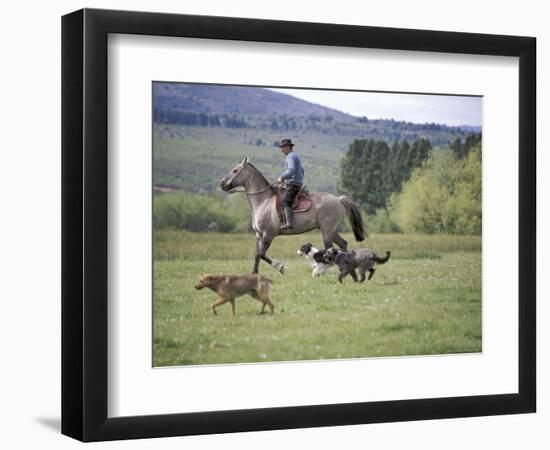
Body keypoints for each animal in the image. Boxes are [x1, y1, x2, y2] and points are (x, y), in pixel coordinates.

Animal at [219, 156, 366, 272]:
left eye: (235, 170)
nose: (222, 184)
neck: (263, 202)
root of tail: (339, 199)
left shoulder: (268, 235)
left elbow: (261, 254)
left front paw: (280, 267)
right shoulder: (258, 235)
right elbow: (257, 255)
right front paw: (254, 273)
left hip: (327, 232)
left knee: (330, 250)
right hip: (331, 231)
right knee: (343, 244)